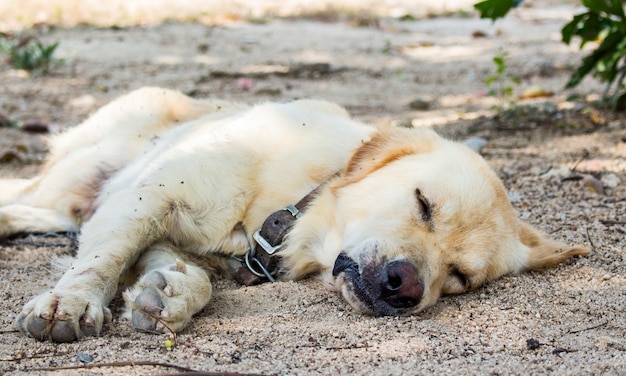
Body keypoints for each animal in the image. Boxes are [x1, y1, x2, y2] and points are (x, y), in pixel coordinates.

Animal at [0, 87, 584, 340]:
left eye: (459, 277)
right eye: (424, 204)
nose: (405, 287)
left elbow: (190, 278)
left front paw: (167, 297)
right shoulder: (148, 198)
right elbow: (103, 258)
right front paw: (73, 303)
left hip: (65, 206)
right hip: (75, 181)